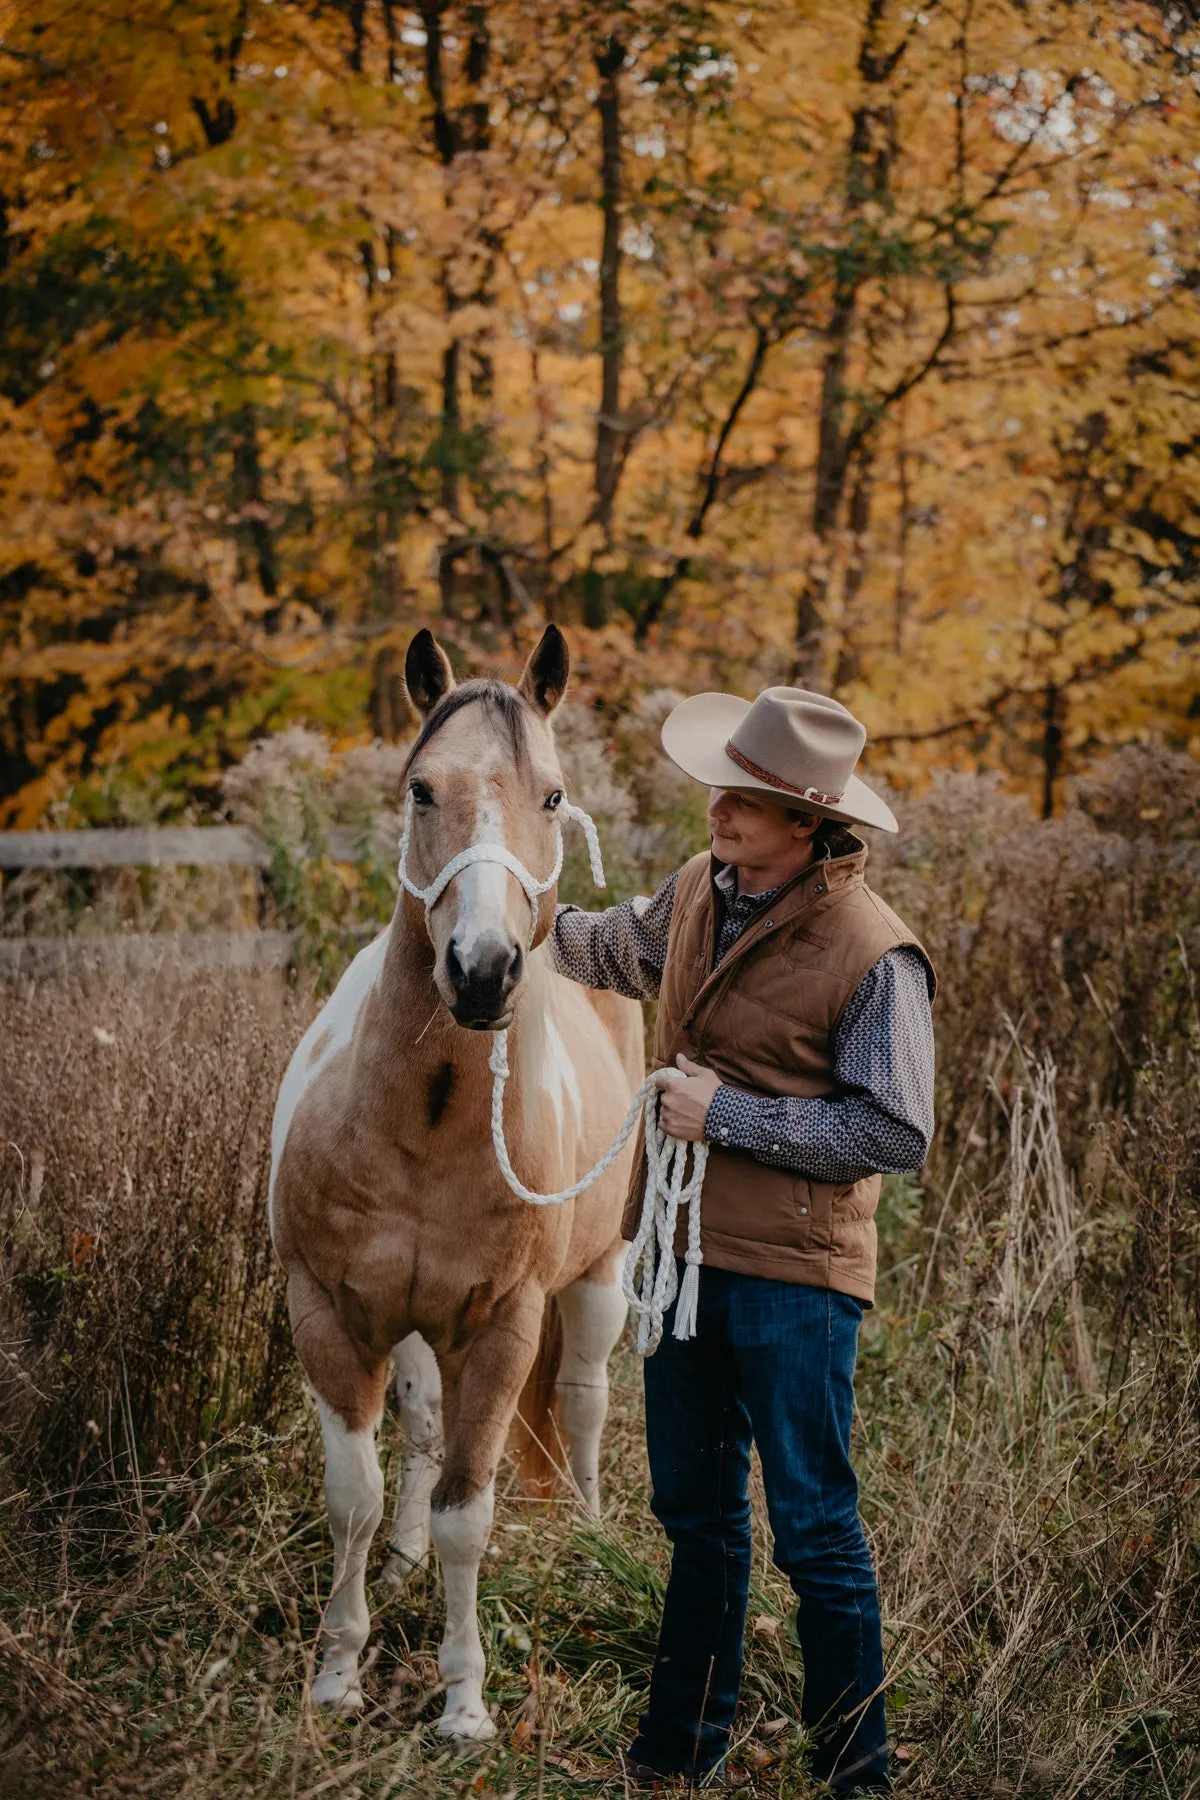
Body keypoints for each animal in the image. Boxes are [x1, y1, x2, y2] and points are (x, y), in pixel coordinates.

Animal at [268, 626, 644, 1735]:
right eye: (421, 789)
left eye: (554, 795)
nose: (482, 969)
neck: (426, 1123)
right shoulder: (329, 1311)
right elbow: (352, 1495)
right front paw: (338, 1671)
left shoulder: (505, 1329)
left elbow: (468, 1517)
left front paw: (465, 1702)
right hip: (414, 1326)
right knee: (422, 1433)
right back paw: (398, 1565)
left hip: (598, 1283)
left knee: (586, 1400)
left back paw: (591, 1539)